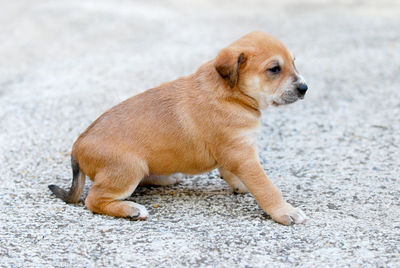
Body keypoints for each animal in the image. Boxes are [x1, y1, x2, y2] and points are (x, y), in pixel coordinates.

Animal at [47, 30, 310, 225]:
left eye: (293, 63)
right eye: (274, 69)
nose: (304, 88)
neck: (232, 94)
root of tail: (77, 145)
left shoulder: (236, 151)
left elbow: (232, 173)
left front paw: (240, 185)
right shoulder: (241, 153)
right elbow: (266, 187)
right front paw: (285, 211)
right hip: (129, 167)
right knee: (94, 199)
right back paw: (130, 209)